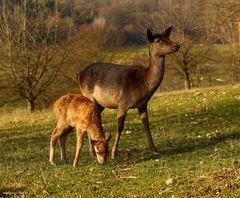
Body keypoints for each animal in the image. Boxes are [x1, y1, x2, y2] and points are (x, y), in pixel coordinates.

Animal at [78, 26, 179, 159]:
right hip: (88, 95)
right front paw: (114, 153)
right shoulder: (123, 102)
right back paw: (92, 152)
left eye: (168, 37)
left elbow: (146, 124)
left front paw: (155, 149)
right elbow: (120, 126)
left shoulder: (143, 104)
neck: (144, 83)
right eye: (158, 40)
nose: (176, 45)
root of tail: (79, 75)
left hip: (101, 104)